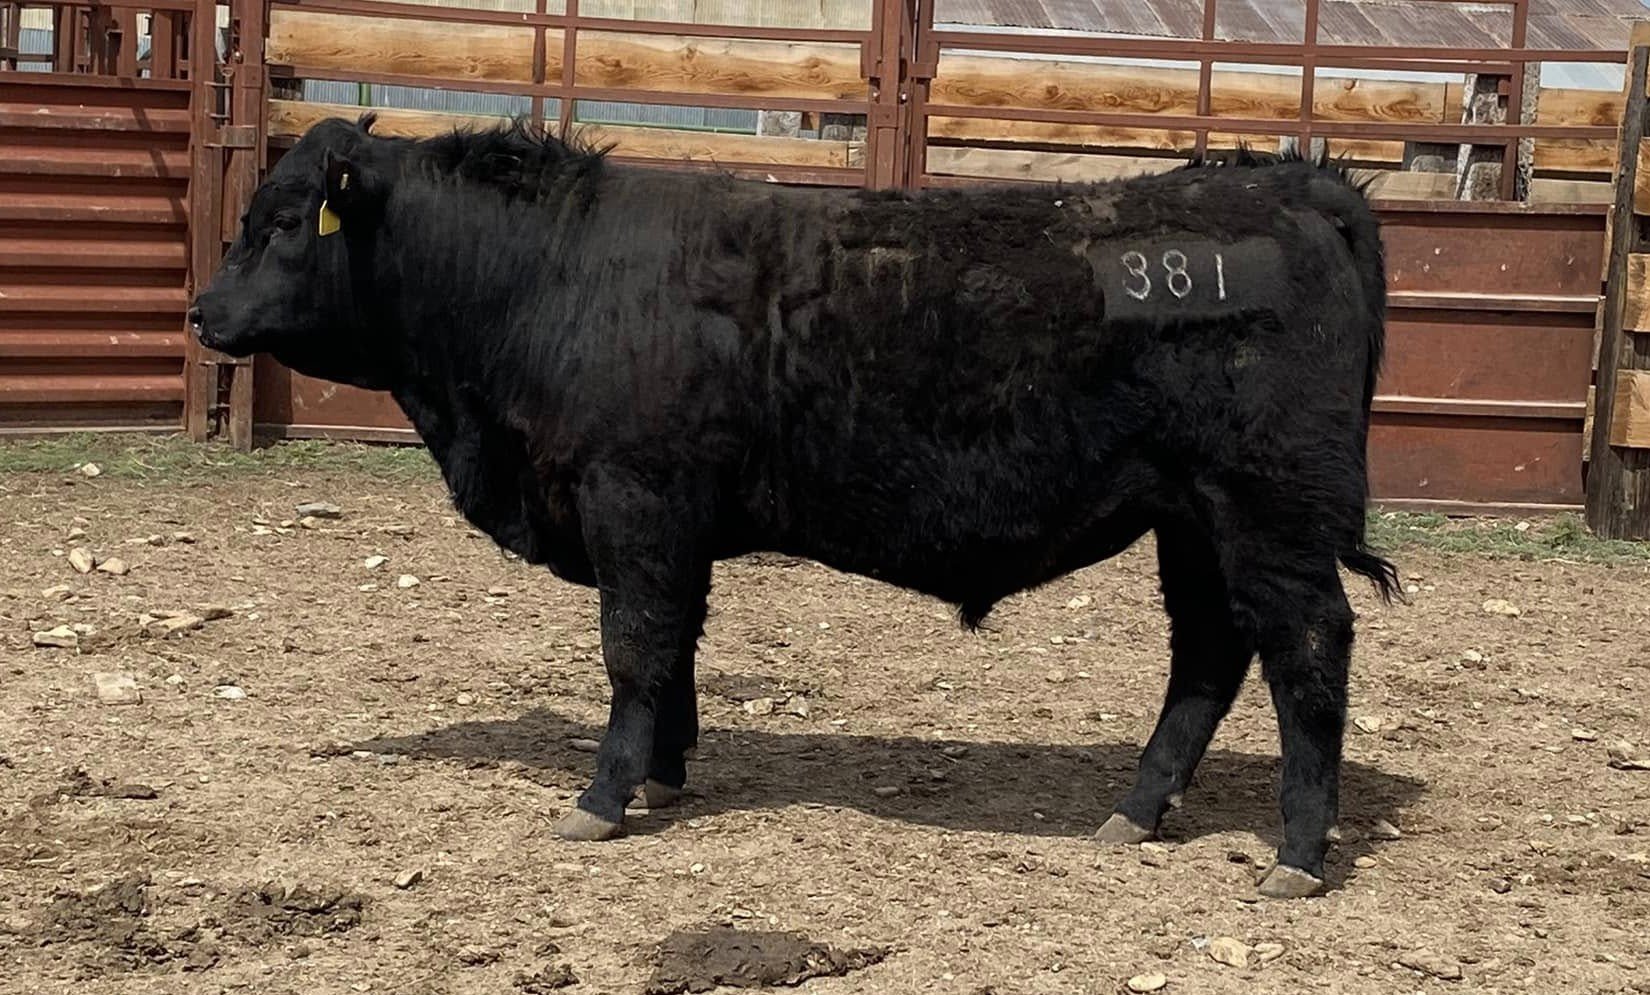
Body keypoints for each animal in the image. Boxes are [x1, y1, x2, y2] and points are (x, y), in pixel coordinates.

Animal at [190, 114, 1399, 899]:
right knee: (1208, 652)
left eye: (286, 218)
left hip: (1268, 511)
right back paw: (1137, 810)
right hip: (1191, 517)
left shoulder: (635, 497)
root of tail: (1287, 183)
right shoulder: (672, 522)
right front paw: (664, 773)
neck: (547, 277)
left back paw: (1296, 852)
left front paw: (603, 794)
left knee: (1307, 646)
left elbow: (634, 647)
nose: (202, 311)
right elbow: (675, 648)